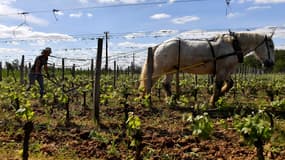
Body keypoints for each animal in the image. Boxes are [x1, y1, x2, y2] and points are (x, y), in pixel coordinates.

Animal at [139, 31, 274, 105]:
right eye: (271, 46)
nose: (270, 63)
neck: (232, 45)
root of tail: (160, 45)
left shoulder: (226, 71)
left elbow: (230, 84)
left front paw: (219, 97)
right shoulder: (221, 71)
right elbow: (218, 85)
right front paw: (213, 101)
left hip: (171, 70)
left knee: (165, 84)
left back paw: (172, 100)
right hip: (160, 69)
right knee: (149, 82)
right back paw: (145, 99)